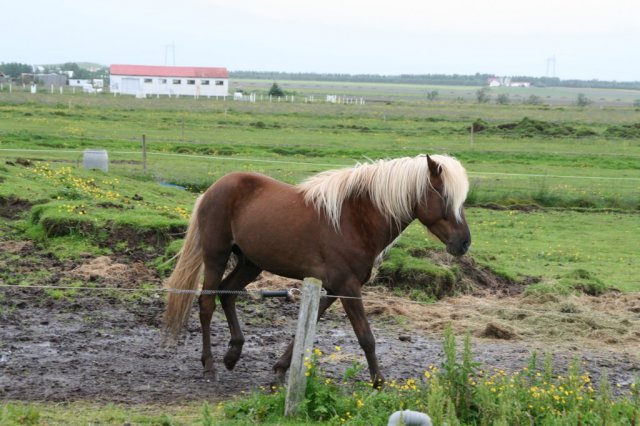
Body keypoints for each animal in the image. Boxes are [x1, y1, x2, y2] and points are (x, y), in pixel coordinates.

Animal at [160, 155, 470, 388]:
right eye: (444, 197)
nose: (464, 243)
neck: (354, 220)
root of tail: (212, 190)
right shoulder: (347, 287)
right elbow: (366, 337)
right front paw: (379, 383)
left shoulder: (334, 287)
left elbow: (309, 325)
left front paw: (280, 369)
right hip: (217, 256)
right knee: (207, 303)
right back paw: (210, 366)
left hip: (251, 262)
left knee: (227, 293)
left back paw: (233, 355)